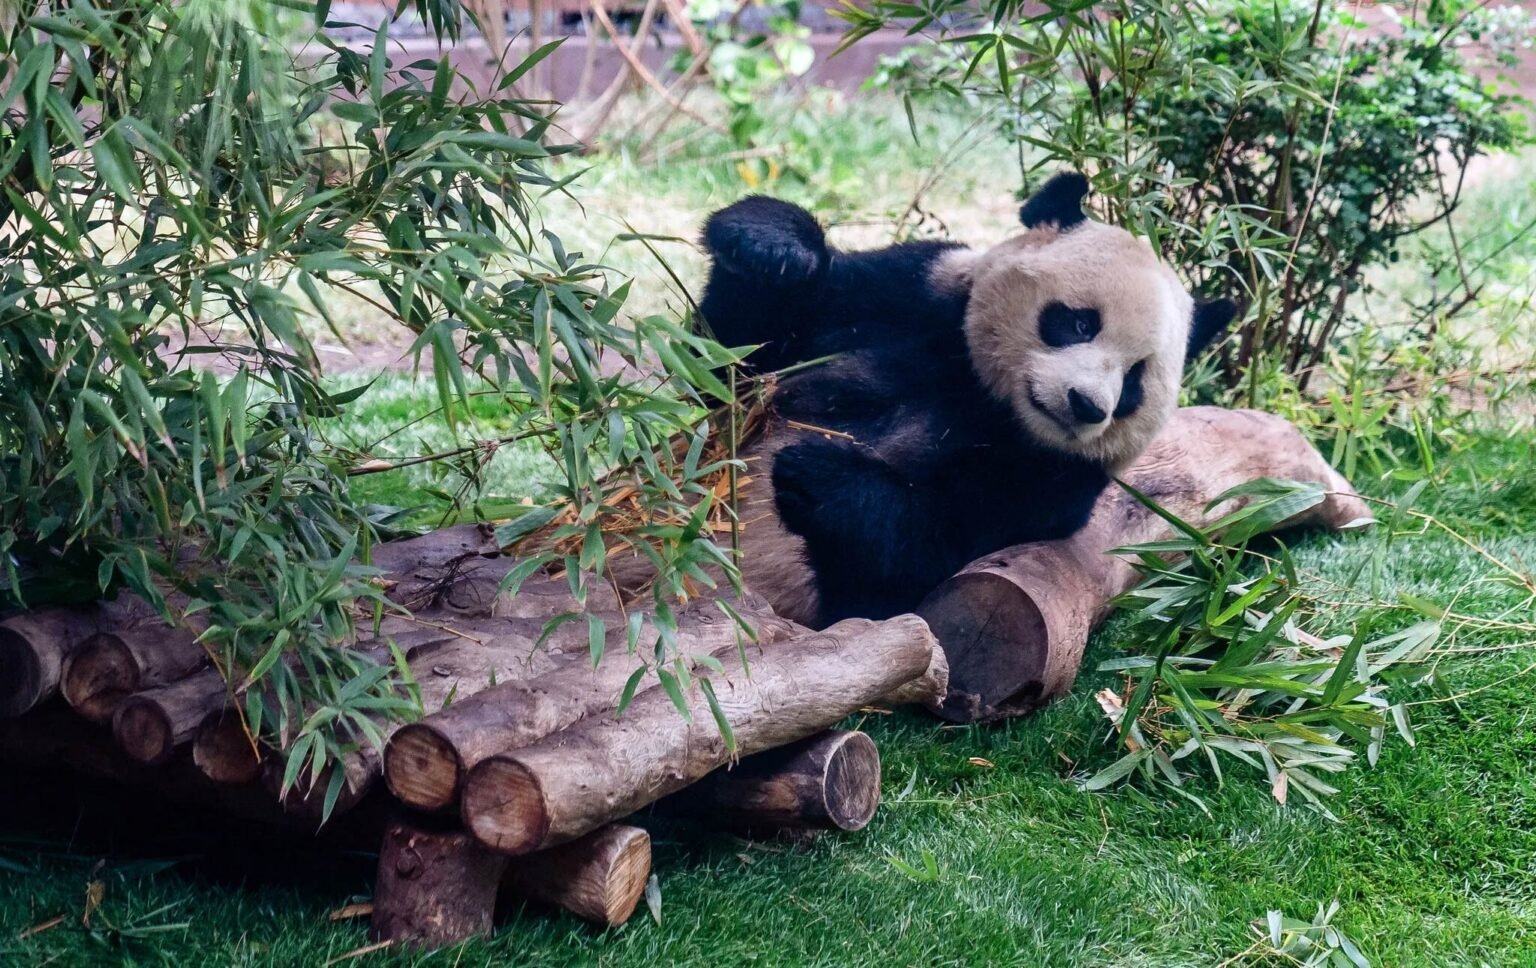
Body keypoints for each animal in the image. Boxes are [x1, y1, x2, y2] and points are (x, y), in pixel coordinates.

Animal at [697, 173, 1237, 628]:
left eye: (1133, 381)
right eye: (1081, 322)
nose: (1086, 406)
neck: (984, 395)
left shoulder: (1051, 483)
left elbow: (924, 554)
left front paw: (821, 474)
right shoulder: (908, 295)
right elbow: (728, 361)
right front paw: (771, 244)